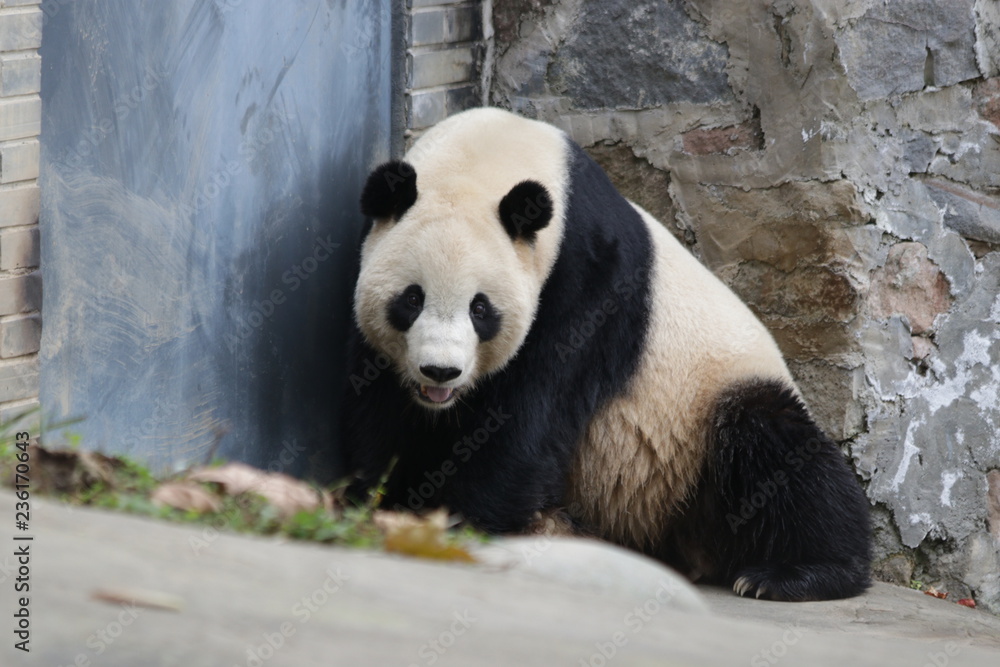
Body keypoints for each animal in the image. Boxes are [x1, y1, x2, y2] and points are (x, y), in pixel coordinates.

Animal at [342, 107, 871, 601]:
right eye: (411, 299)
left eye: (480, 308)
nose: (440, 371)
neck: (492, 156)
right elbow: (381, 409)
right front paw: (379, 505)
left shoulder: (588, 282)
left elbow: (528, 420)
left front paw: (459, 524)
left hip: (709, 407)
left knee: (776, 450)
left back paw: (795, 573)